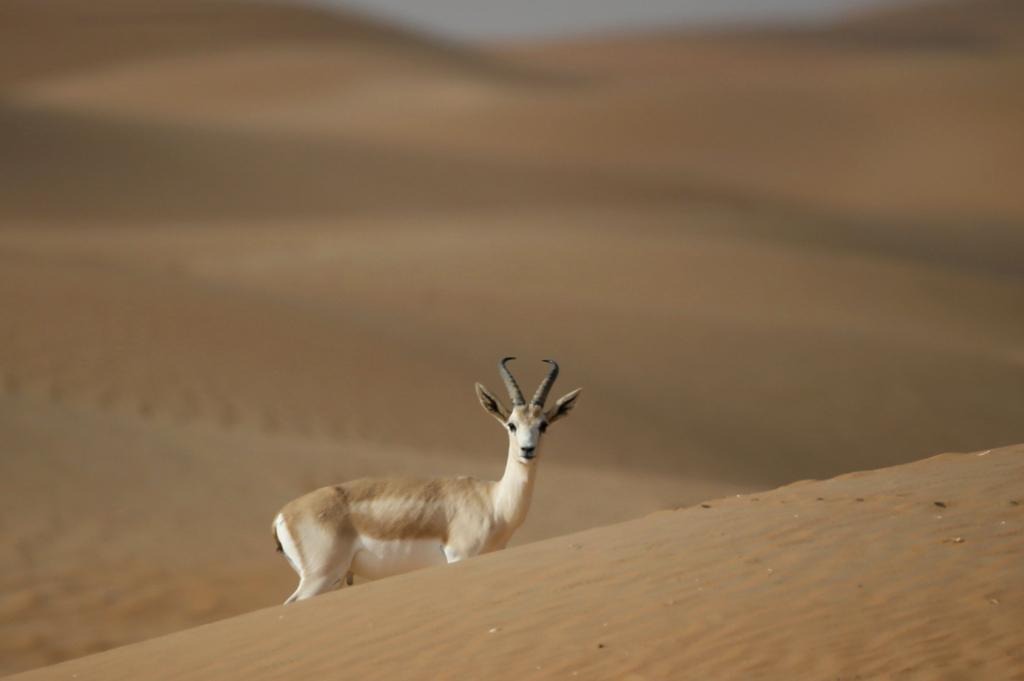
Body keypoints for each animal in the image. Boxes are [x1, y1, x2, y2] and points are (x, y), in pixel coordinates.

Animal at [272, 358, 581, 604]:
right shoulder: (460, 557)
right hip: (320, 578)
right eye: (511, 425)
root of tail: (282, 515)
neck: (492, 501)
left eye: (543, 425)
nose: (527, 450)